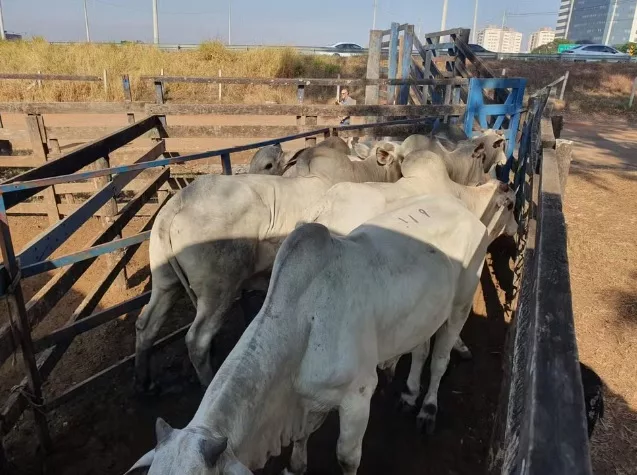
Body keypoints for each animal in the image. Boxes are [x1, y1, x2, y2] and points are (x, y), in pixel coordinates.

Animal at [135, 148, 402, 390]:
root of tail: (178, 203)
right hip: (218, 289)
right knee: (197, 340)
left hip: (166, 282)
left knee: (146, 325)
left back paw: (145, 382)